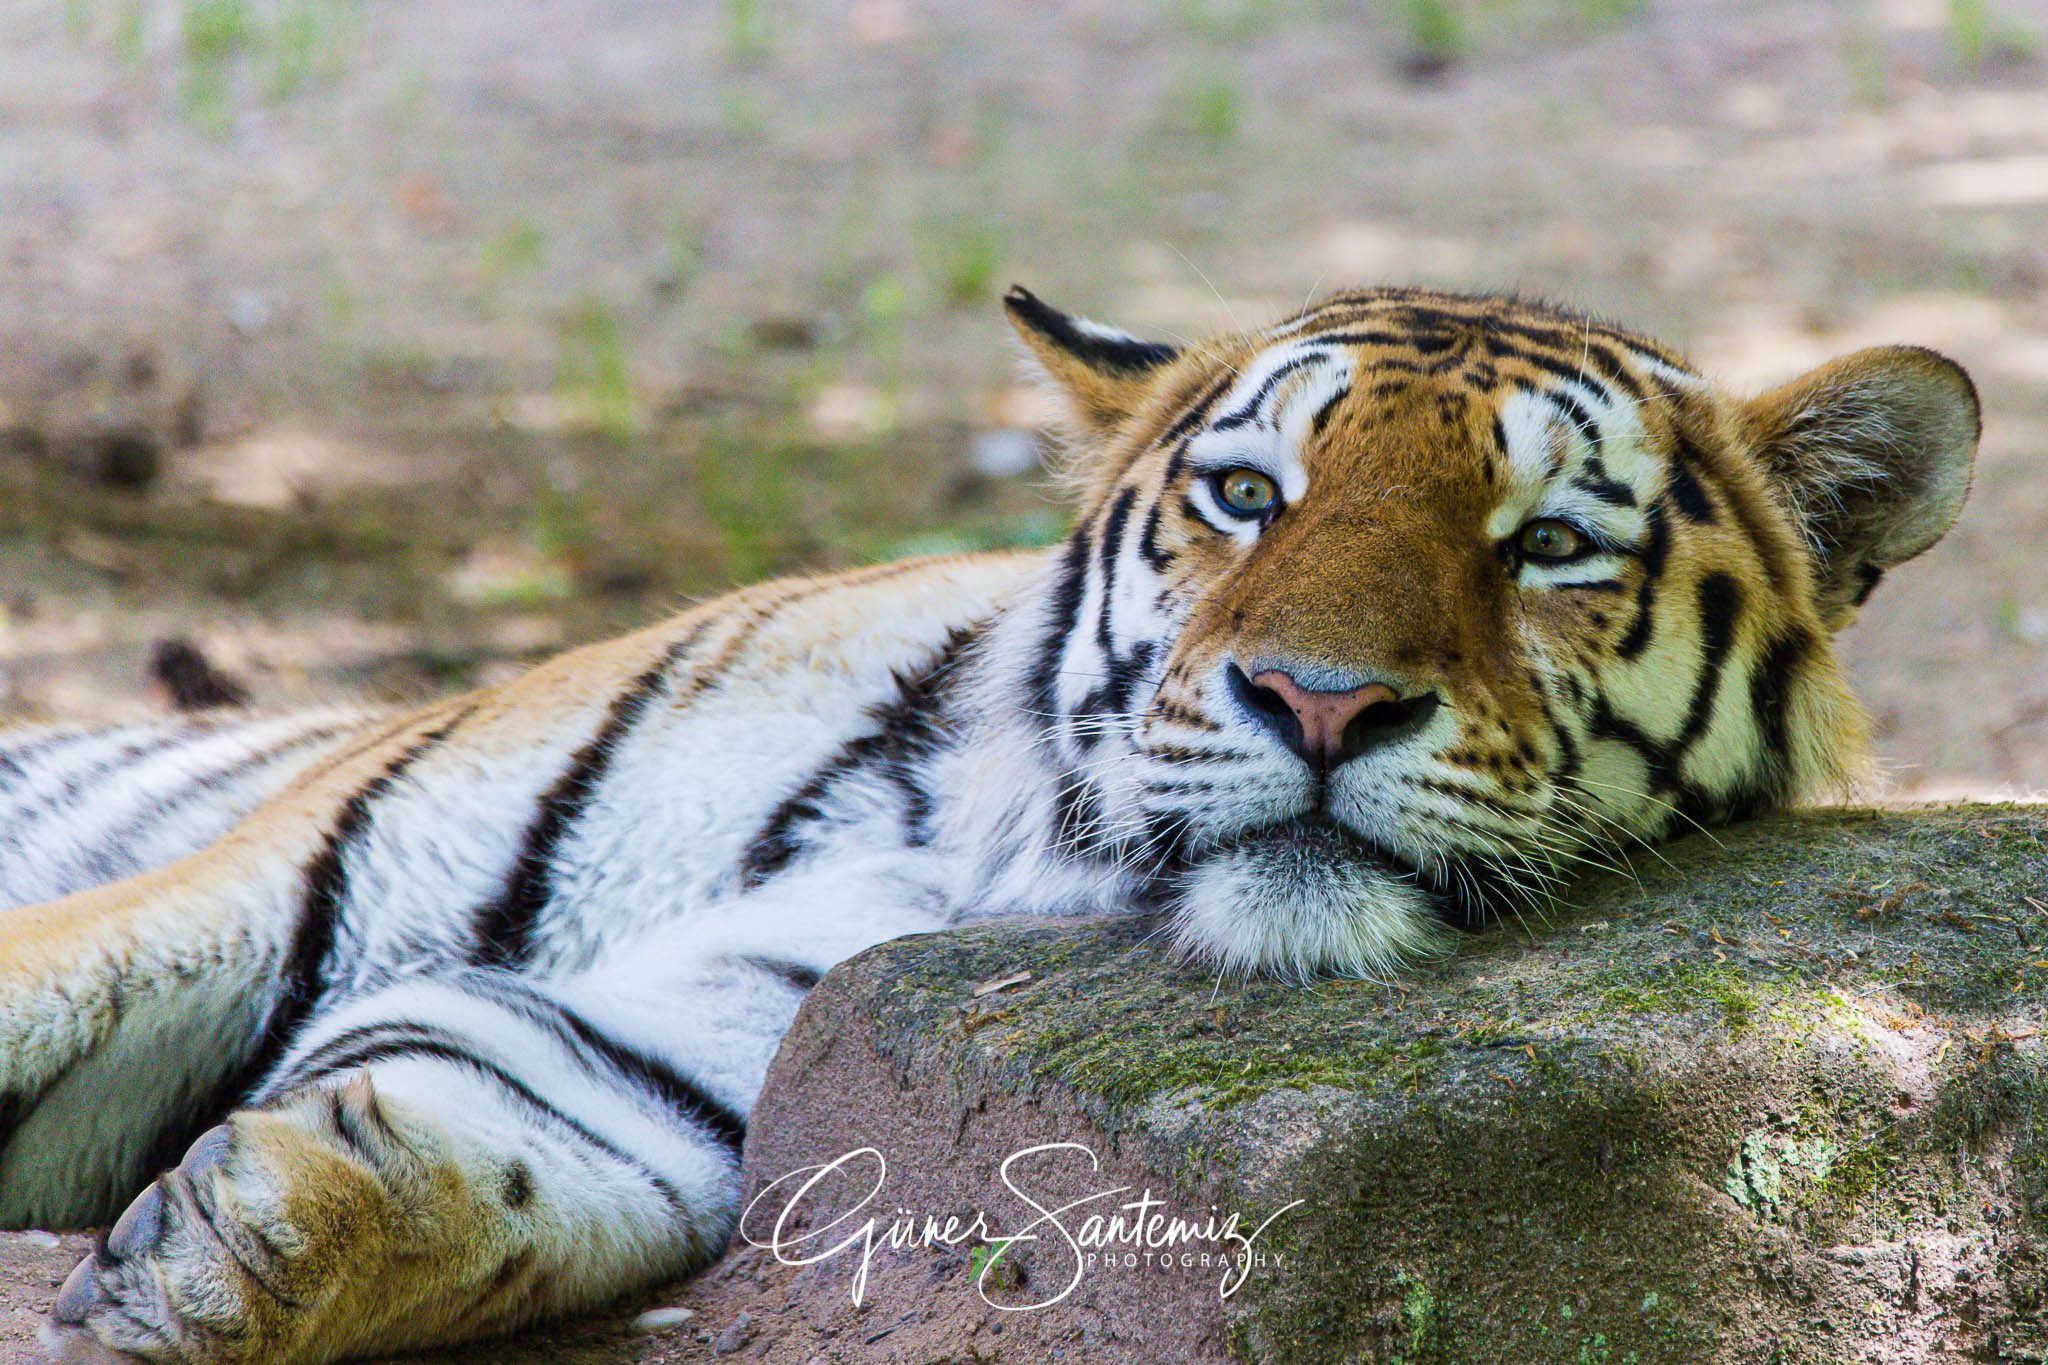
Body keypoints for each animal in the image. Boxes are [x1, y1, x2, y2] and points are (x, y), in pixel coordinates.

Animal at [2, 284, 1977, 1364]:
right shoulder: (256, 887)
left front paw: (221, 1255)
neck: (985, 828)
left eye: (1550, 543)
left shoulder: (706, 1053)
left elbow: (480, 1145)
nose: (1318, 702)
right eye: (1245, 496)